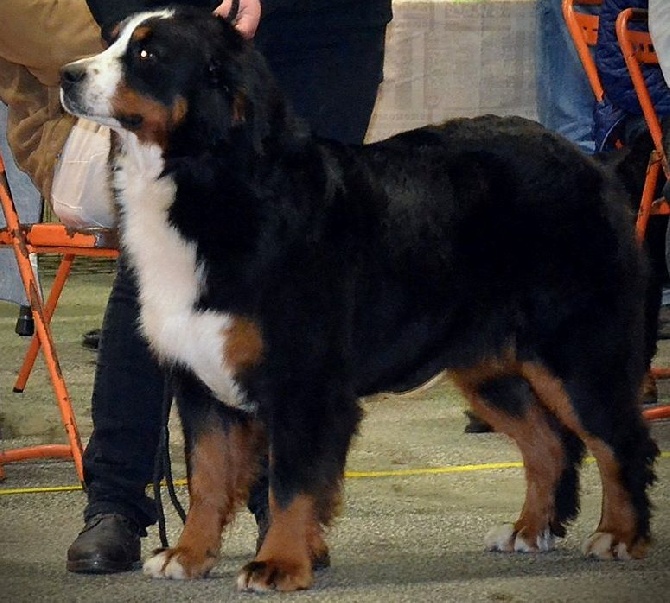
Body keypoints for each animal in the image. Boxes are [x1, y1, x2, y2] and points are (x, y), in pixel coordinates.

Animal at [61, 7, 660, 592]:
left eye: (147, 54)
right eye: (113, 37)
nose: (68, 75)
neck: (212, 181)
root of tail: (593, 164)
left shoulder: (304, 380)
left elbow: (291, 483)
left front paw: (279, 563)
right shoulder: (199, 376)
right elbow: (207, 475)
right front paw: (189, 555)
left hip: (577, 353)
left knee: (620, 440)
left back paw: (619, 536)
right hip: (491, 366)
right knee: (549, 443)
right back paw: (529, 530)